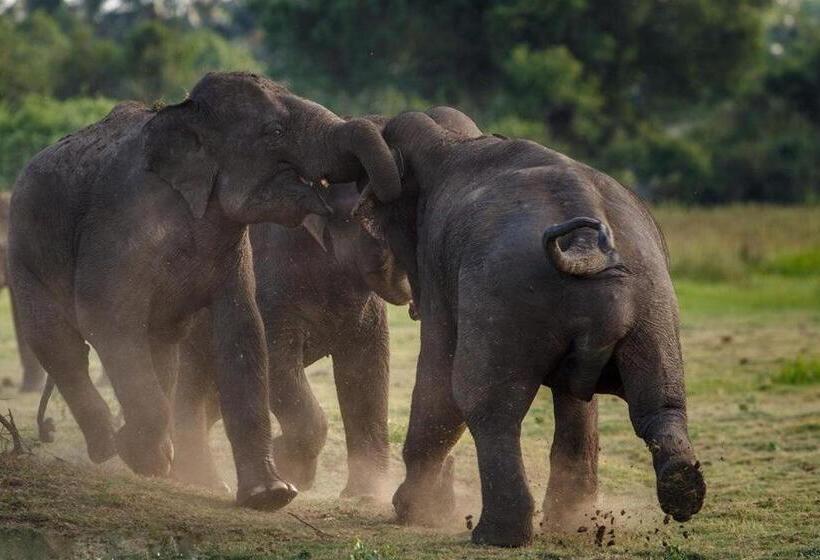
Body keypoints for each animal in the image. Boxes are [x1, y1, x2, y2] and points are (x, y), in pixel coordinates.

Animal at [171, 180, 411, 498]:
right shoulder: (270, 288)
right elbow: (275, 361)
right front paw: (293, 470)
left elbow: (366, 372)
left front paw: (367, 496)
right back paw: (203, 480)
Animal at [352, 108, 706, 546]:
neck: (450, 141)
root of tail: (585, 248)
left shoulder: (436, 262)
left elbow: (438, 377)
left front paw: (410, 513)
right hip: (652, 303)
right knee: (659, 403)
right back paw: (671, 492)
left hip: (506, 292)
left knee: (486, 403)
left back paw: (495, 536)